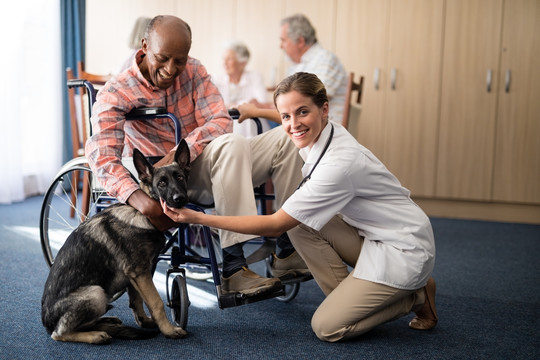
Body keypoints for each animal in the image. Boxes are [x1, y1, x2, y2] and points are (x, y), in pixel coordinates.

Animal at [42, 139, 190, 344]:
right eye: (161, 183)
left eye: (181, 178)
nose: (180, 199)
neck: (140, 214)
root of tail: (46, 323)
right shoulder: (140, 272)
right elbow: (157, 303)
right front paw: (168, 330)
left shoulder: (137, 275)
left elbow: (137, 301)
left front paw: (145, 321)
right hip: (95, 293)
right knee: (60, 333)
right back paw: (95, 335)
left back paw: (106, 322)